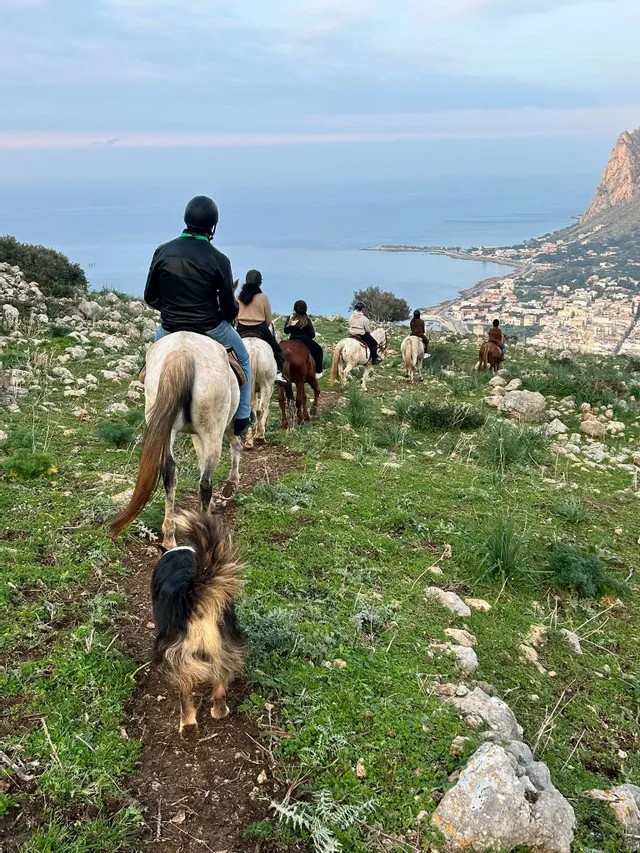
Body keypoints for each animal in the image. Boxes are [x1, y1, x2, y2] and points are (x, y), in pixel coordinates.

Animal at [109, 332, 243, 549]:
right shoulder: (217, 429)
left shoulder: (196, 435)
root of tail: (182, 353)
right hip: (213, 431)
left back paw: (169, 537)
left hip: (166, 426)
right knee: (205, 483)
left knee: (170, 473)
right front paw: (230, 485)